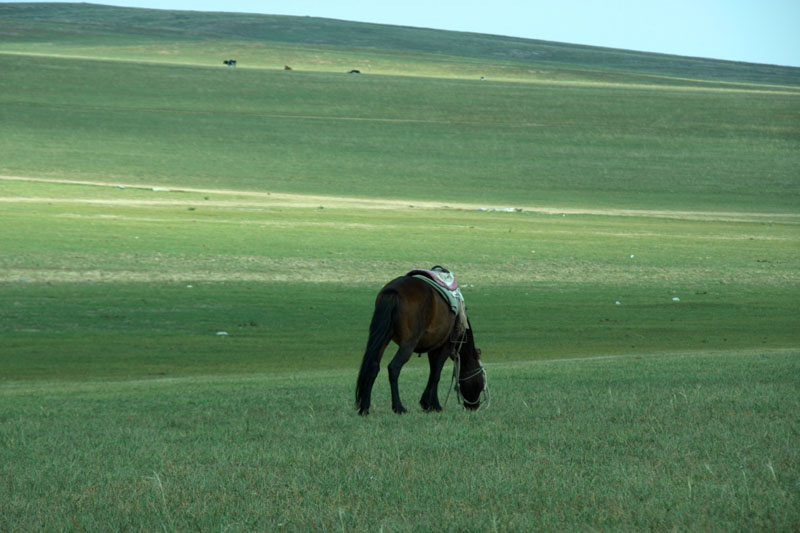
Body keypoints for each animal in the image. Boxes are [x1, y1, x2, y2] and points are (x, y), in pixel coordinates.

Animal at [356, 274, 488, 416]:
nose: (474, 406)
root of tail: (394, 290)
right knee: (394, 367)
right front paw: (430, 404)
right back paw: (398, 407)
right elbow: (436, 374)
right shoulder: (446, 346)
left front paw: (431, 404)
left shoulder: (434, 348)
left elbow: (434, 371)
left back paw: (364, 408)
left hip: (383, 338)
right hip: (408, 343)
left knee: (373, 366)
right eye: (481, 380)